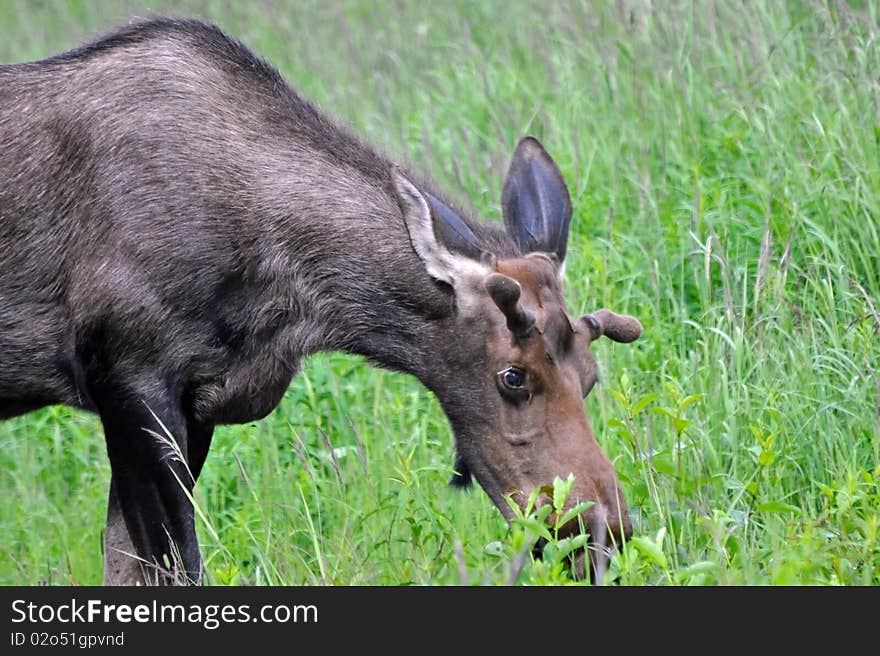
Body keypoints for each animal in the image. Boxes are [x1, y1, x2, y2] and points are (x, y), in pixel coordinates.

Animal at [3, 19, 644, 584]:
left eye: (590, 377)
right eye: (512, 376)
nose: (601, 532)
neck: (290, 304)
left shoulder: (194, 405)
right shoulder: (129, 380)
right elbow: (176, 569)